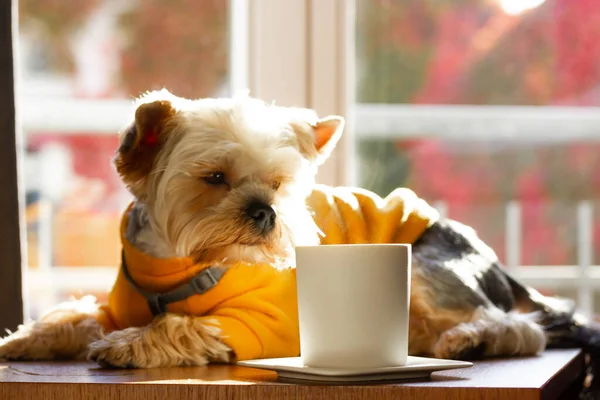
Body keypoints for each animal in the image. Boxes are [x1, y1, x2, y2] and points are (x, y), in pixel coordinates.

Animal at [0, 89, 596, 376]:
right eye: (214, 178)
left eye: (279, 182)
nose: (266, 212)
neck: (174, 262)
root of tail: (491, 259)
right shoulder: (116, 302)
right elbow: (77, 315)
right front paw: (28, 337)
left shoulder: (259, 323)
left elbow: (180, 326)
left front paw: (127, 344)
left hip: (430, 266)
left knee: (520, 327)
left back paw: (472, 337)